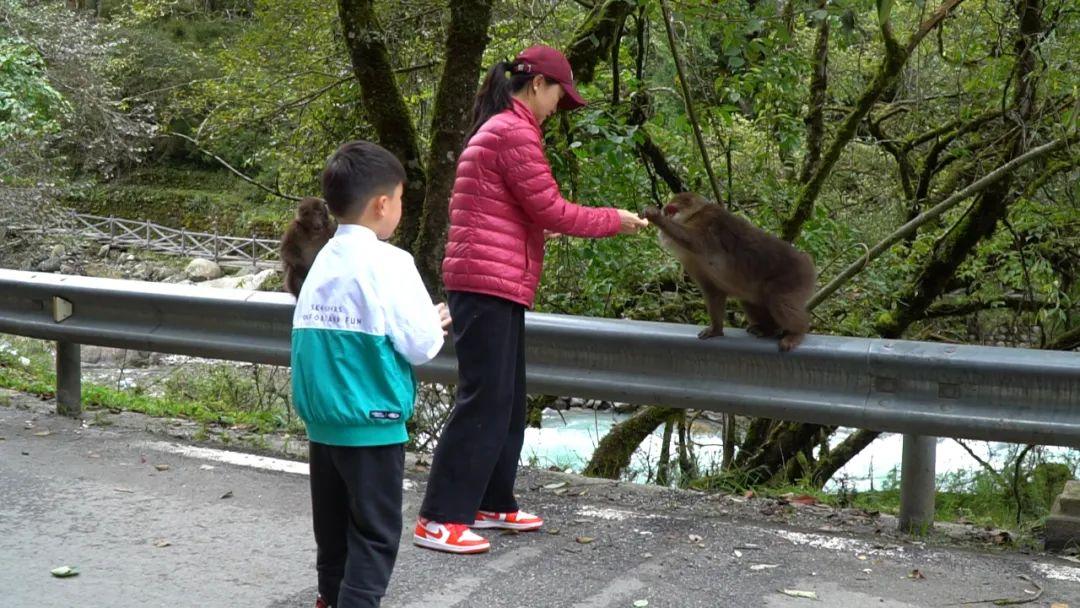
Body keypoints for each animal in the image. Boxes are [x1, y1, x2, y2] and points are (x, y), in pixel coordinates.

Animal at [639, 192, 816, 354]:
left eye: (671, 209)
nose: (665, 213)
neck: (693, 215)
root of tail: (808, 263)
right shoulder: (690, 262)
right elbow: (713, 291)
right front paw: (716, 330)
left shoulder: (707, 219)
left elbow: (694, 240)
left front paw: (655, 216)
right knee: (749, 300)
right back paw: (769, 329)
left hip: (795, 279)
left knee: (778, 300)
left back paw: (797, 332)